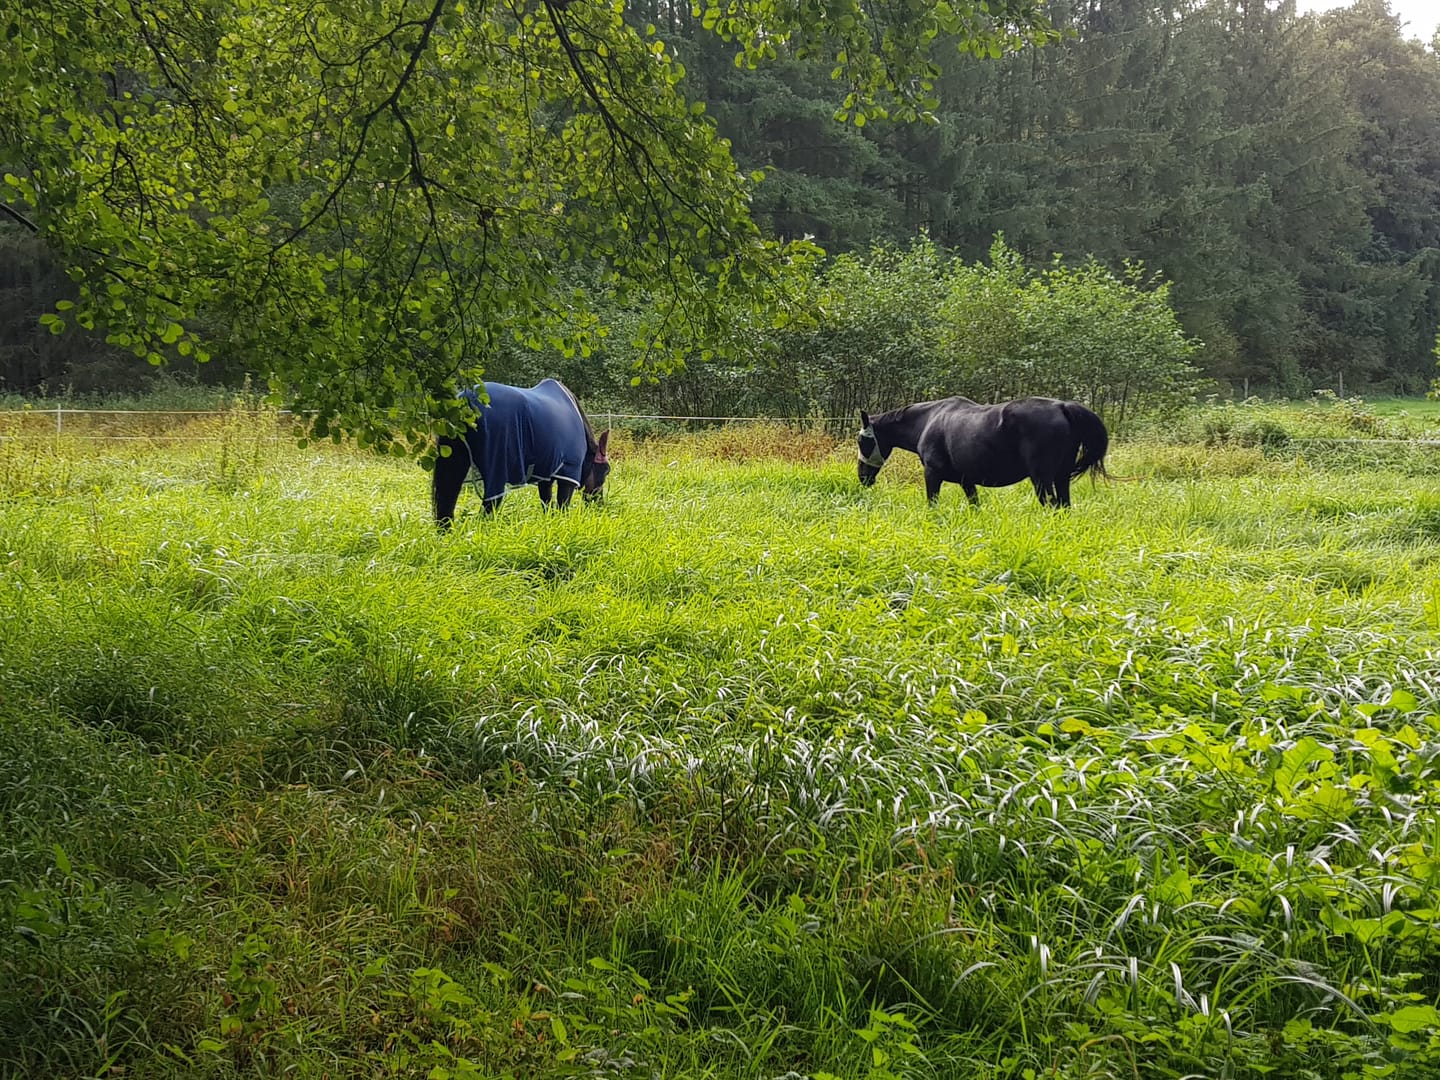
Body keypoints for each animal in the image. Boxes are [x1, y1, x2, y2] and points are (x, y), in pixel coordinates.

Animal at [432, 378, 610, 529]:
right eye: (606, 471)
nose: (600, 506)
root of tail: (467, 399)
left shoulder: (545, 476)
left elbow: (547, 505)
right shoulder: (568, 475)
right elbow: (562, 507)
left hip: (454, 461)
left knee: (446, 503)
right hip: (495, 471)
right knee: (488, 507)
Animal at [857, 395, 1108, 508]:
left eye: (862, 441)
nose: (862, 477)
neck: (927, 420)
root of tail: (1062, 406)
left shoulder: (932, 474)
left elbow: (932, 504)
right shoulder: (967, 481)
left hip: (1042, 479)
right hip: (1061, 477)